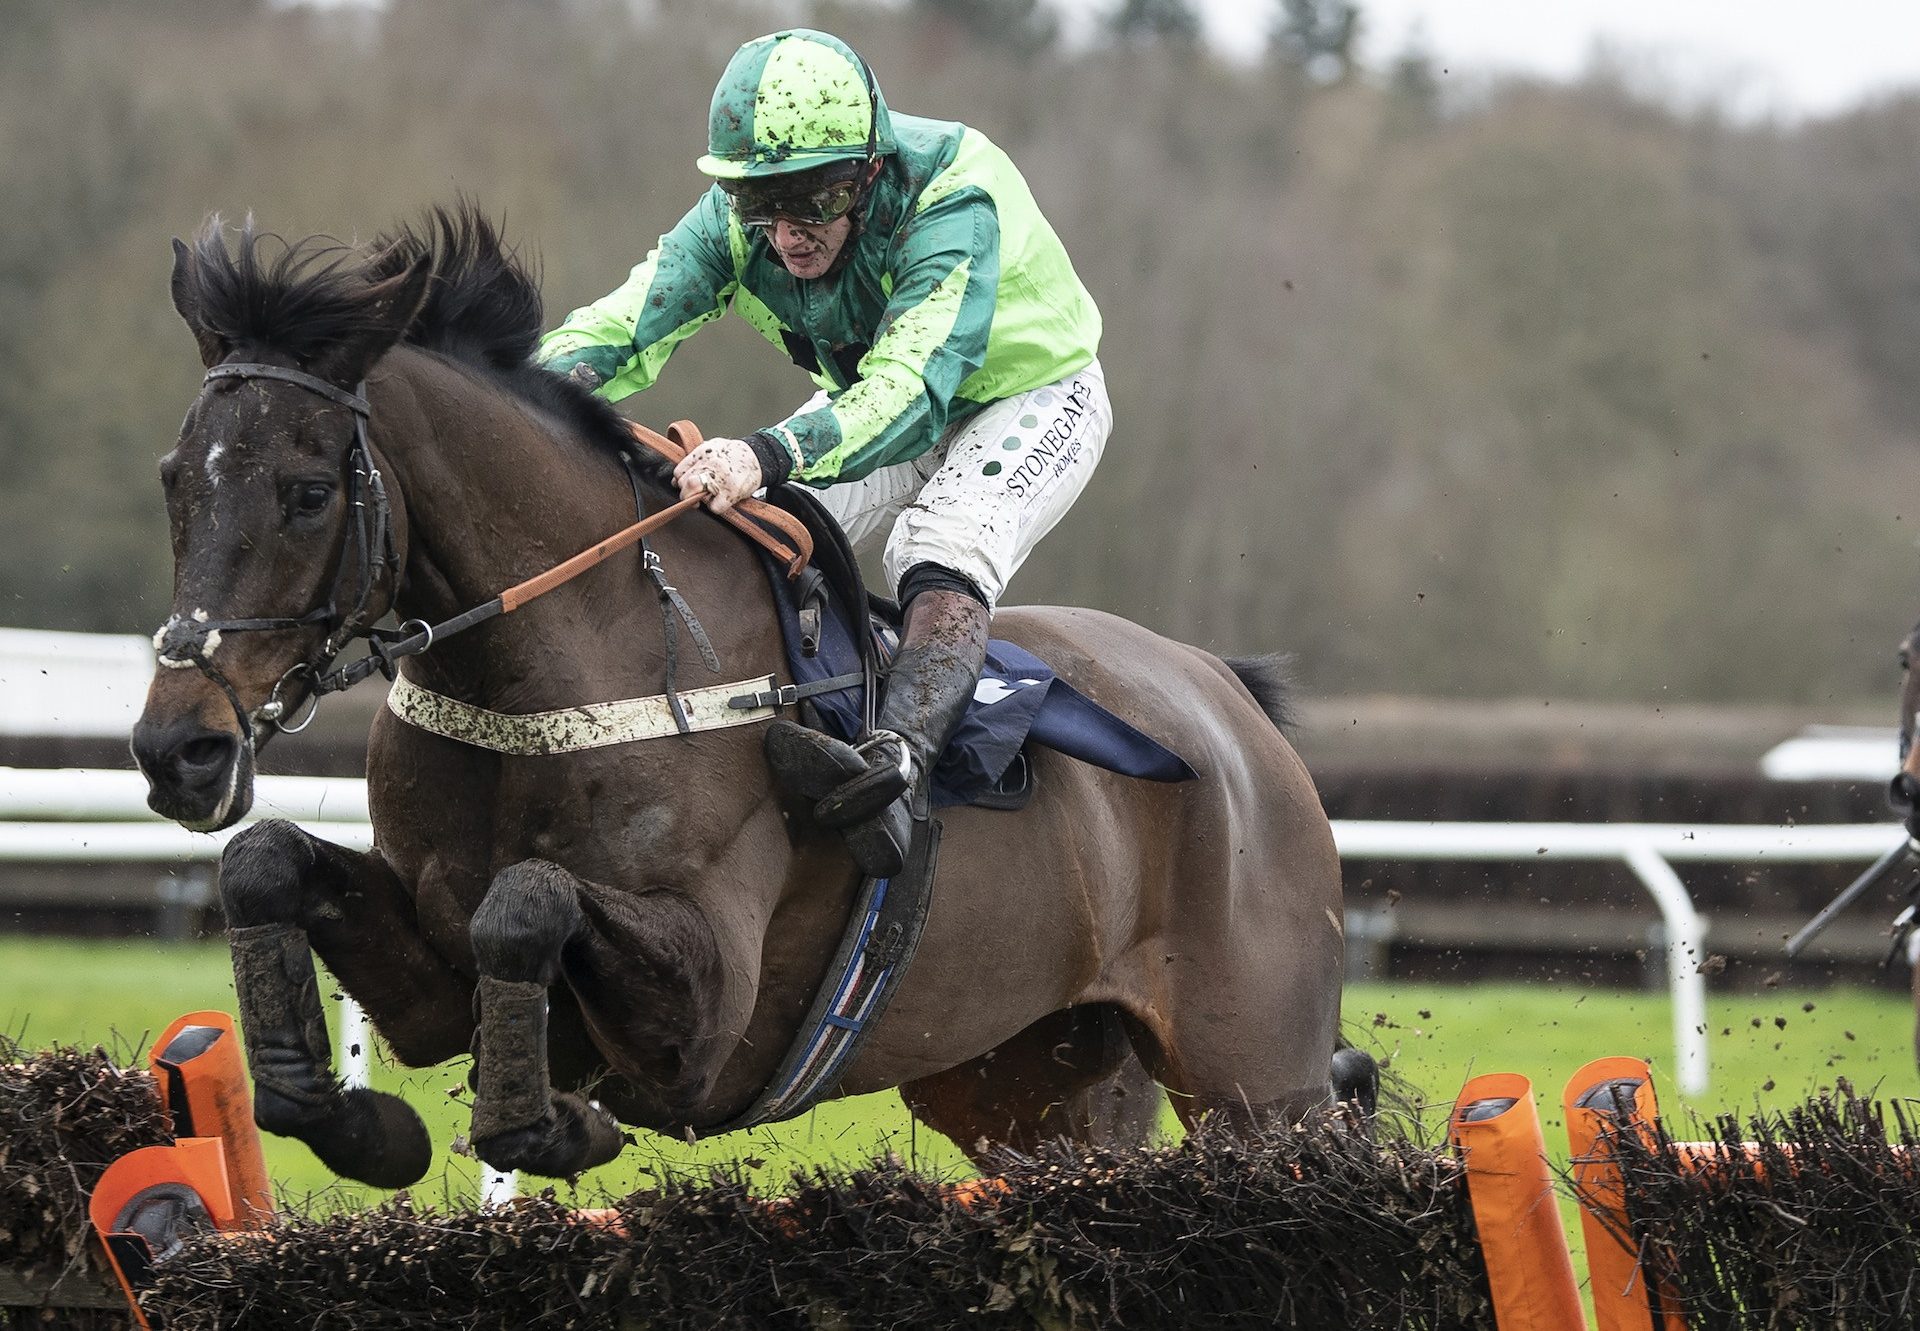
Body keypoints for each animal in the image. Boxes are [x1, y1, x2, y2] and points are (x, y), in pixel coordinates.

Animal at [131, 205, 1367, 1183]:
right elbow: (265, 861)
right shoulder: (431, 965)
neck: (564, 670)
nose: (176, 749)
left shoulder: (711, 1003)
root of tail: (1232, 701)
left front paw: (550, 1123)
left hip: (1258, 1080)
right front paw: (345, 1115)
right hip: (1023, 1080)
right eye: (174, 479)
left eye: (304, 491)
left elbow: (528, 899)